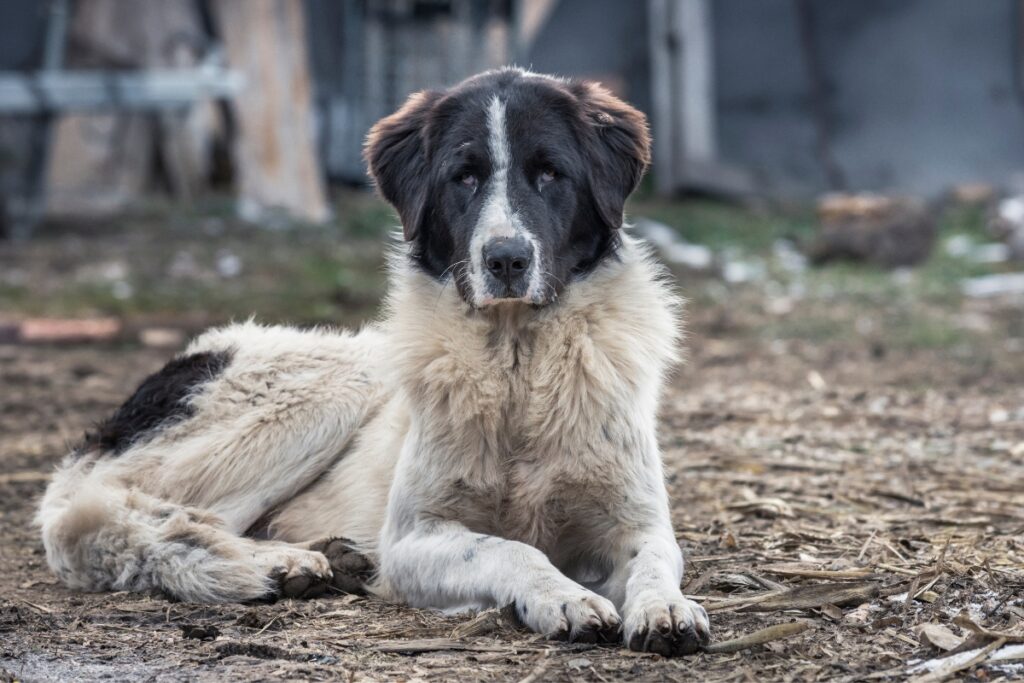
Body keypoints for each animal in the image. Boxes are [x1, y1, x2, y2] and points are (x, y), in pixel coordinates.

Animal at [37, 69, 712, 655]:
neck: (516, 362)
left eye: (550, 174)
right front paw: (564, 599)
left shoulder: (637, 521)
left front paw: (666, 608)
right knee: (113, 515)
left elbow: (655, 559)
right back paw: (276, 564)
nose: (506, 258)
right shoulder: (414, 540)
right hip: (333, 387)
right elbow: (511, 550)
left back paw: (328, 557)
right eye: (464, 178)